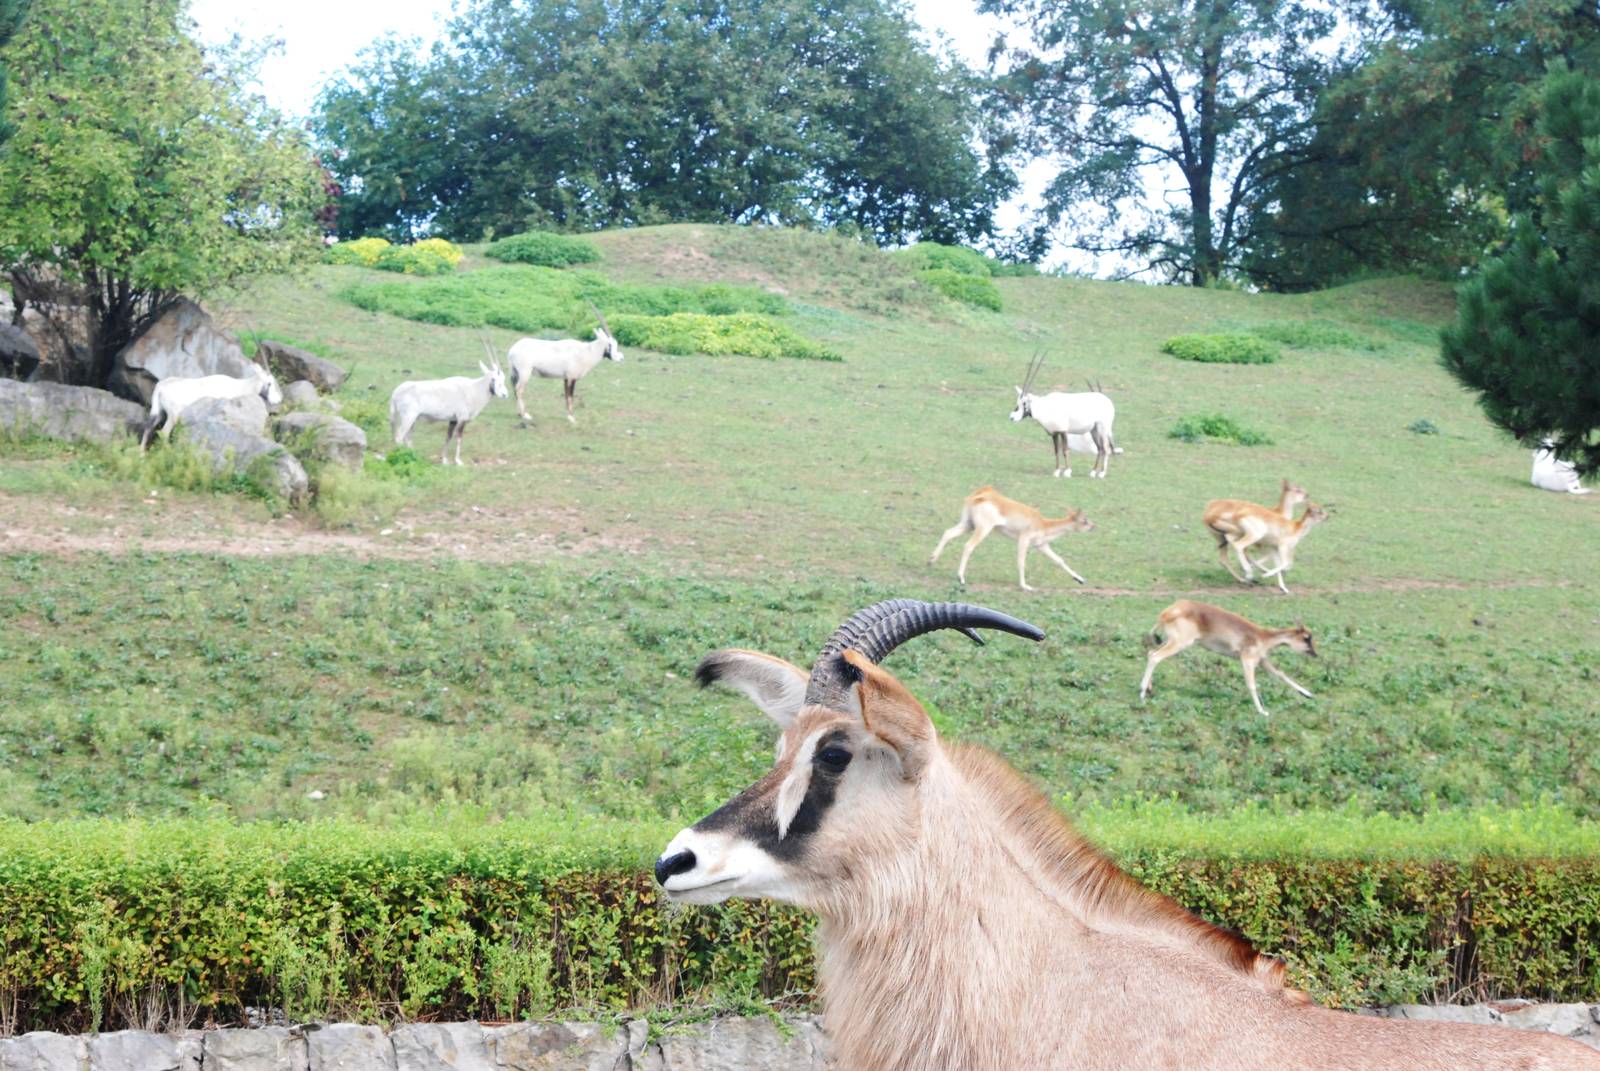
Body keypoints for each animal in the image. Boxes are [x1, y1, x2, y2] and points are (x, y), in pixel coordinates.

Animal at [140, 365, 284, 452]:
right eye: (269, 383)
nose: (278, 400)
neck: (241, 386)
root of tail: (161, 386)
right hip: (173, 415)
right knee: (164, 433)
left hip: (158, 412)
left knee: (148, 428)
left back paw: (141, 455)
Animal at [929, 486, 1093, 590]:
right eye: (1084, 520)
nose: (1093, 526)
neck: (1043, 524)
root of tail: (982, 493)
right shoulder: (1023, 540)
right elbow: (1021, 562)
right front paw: (1025, 586)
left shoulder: (1041, 546)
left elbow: (1059, 560)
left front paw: (1080, 579)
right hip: (983, 528)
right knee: (969, 546)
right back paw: (961, 578)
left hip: (968, 524)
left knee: (948, 533)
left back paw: (931, 561)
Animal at [1140, 599, 1316, 716]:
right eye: (1306, 638)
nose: (1315, 654)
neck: (1262, 636)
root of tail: (1168, 612)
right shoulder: (1247, 660)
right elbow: (1252, 685)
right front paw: (1262, 711)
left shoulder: (1261, 660)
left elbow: (1281, 674)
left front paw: (1308, 694)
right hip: (1179, 643)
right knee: (1155, 657)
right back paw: (1142, 694)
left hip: (1168, 641)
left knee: (1150, 653)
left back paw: (1149, 689)